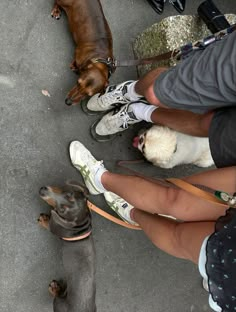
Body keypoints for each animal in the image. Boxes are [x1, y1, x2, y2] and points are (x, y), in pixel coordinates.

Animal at [37, 183, 96, 312]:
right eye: (67, 193)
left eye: (62, 210)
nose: (43, 190)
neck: (80, 227)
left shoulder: (54, 226)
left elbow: (48, 225)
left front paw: (44, 219)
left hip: (59, 303)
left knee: (56, 297)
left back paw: (54, 288)